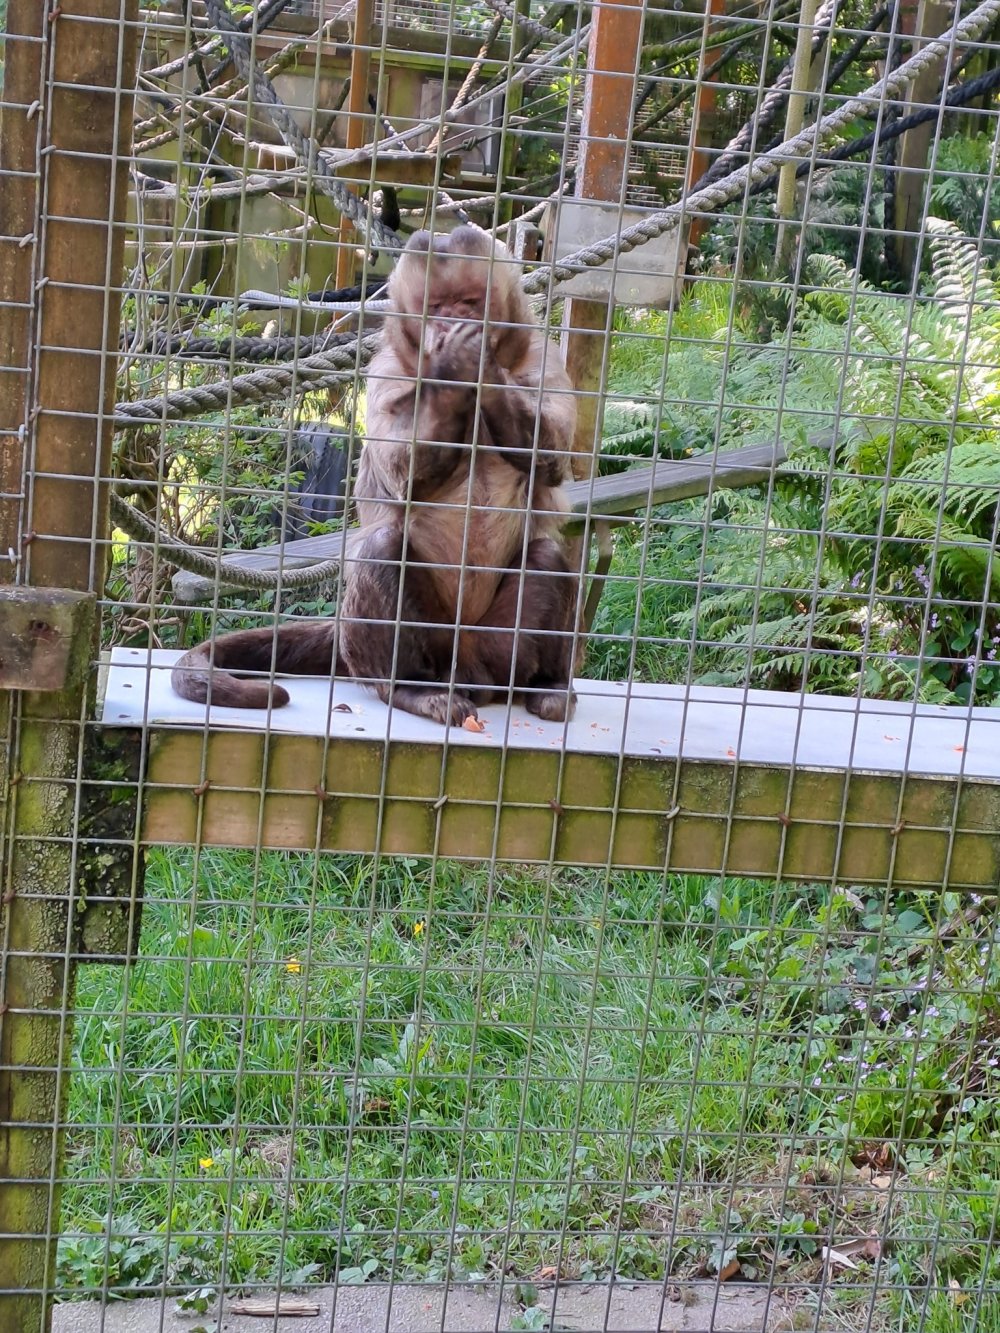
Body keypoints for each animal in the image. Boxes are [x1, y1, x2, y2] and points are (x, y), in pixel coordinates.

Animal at [172, 229, 578, 730]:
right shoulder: (385, 368)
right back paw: (410, 688)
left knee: (545, 558)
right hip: (427, 642)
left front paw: (481, 365)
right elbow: (400, 474)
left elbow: (554, 456)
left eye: (468, 301)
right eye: (437, 306)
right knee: (385, 548)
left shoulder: (540, 353)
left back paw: (546, 685)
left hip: (492, 647)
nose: (453, 321)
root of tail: (465, 668)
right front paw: (454, 366)